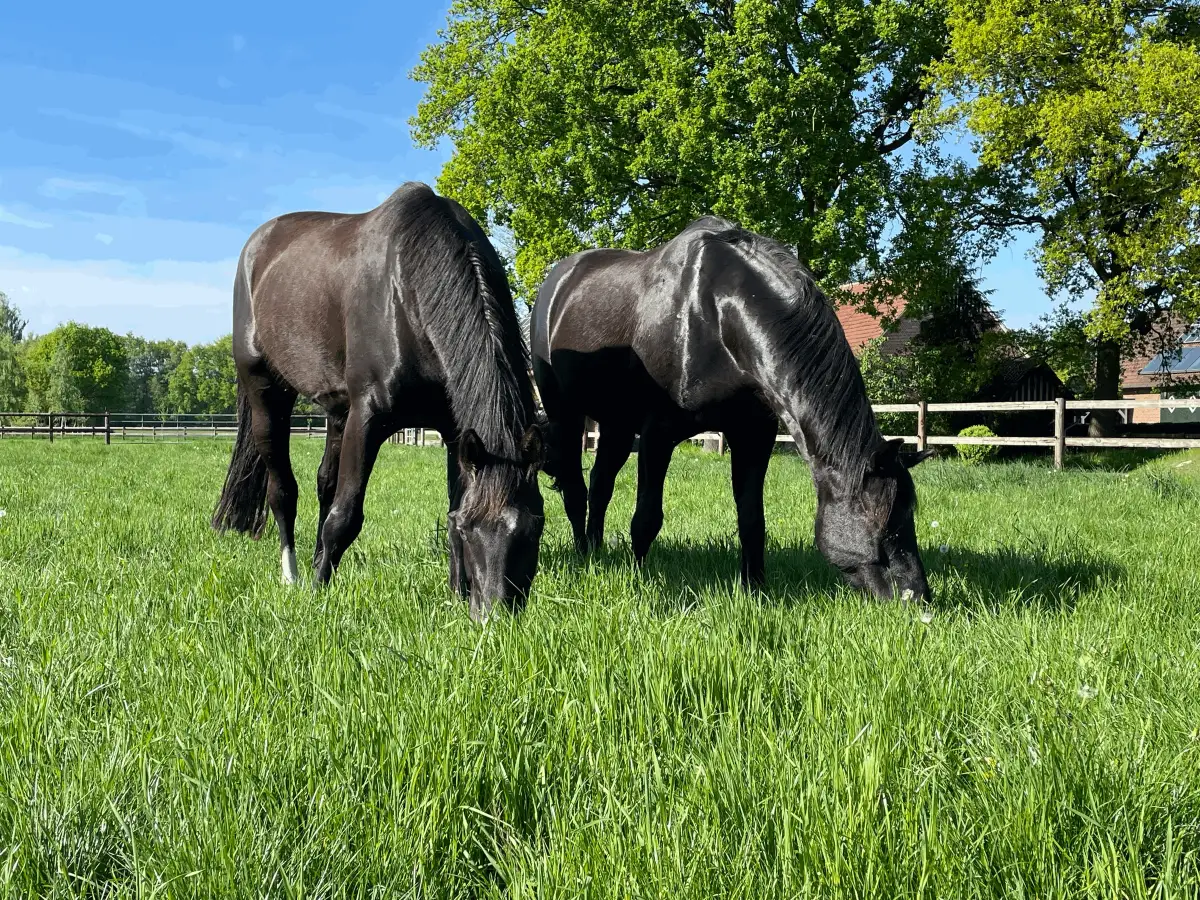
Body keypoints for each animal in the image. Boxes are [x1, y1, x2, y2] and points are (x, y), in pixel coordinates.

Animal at [212, 182, 545, 621]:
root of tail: (257, 244)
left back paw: (315, 560)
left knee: (324, 483)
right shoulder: (367, 418)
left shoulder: (456, 433)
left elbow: (448, 506)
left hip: (337, 412)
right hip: (268, 393)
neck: (407, 296)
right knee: (283, 490)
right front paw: (318, 595)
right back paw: (293, 576)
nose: (493, 616)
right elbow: (345, 517)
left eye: (535, 526)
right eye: (473, 529)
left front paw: (456, 597)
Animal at [531, 216, 935, 602]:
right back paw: (583, 556)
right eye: (885, 524)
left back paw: (596, 551)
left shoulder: (753, 435)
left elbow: (752, 520)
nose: (918, 597)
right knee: (576, 489)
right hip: (566, 414)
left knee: (600, 484)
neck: (715, 317)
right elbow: (646, 518)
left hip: (616, 423)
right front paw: (640, 582)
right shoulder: (657, 433)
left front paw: (755, 591)